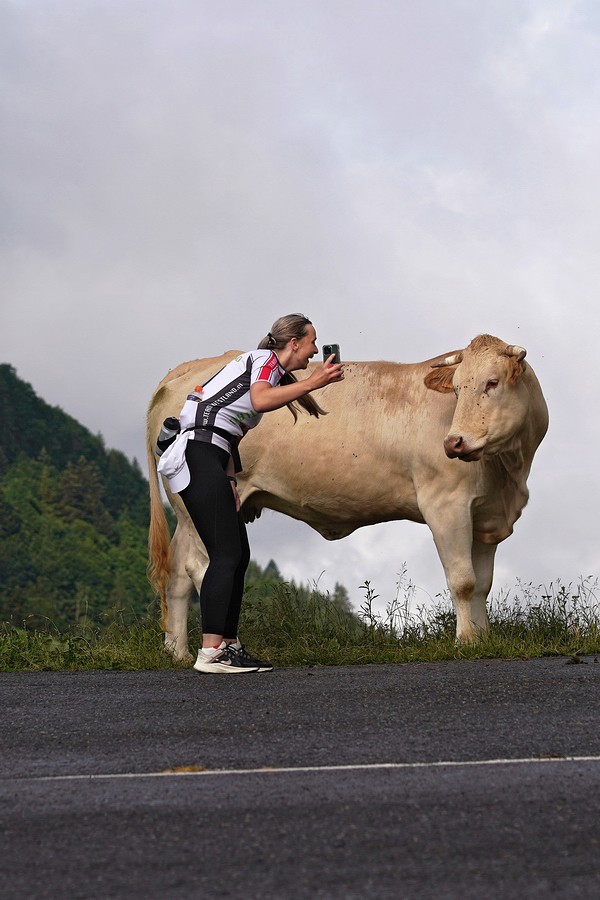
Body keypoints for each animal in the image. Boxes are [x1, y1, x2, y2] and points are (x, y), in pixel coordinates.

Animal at [146, 334, 548, 656]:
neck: (509, 473)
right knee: (202, 568)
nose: (454, 442)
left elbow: (482, 585)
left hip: (188, 510)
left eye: (492, 382)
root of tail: (187, 368)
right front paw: (465, 642)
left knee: (178, 576)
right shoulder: (446, 504)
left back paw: (177, 652)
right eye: (458, 388)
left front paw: (484, 639)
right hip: (208, 502)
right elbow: (463, 581)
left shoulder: (486, 516)